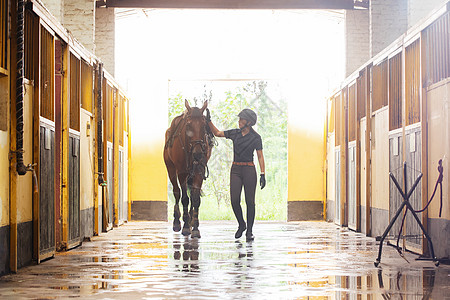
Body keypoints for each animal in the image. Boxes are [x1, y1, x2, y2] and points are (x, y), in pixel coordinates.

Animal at [163, 99, 213, 238]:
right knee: (177, 192)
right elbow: (184, 198)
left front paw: (194, 227)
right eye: (188, 126)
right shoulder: (181, 172)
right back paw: (177, 221)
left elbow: (195, 199)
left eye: (204, 125)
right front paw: (185, 226)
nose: (198, 153)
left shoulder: (199, 171)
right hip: (170, 168)